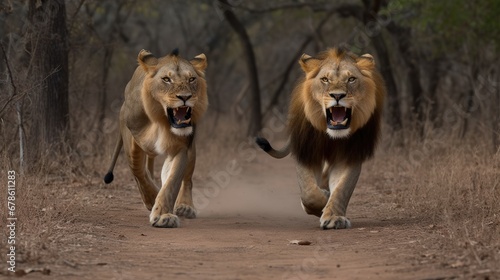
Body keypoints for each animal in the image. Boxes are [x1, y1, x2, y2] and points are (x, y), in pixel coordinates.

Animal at [104, 48, 208, 228]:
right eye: (166, 79)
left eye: (191, 79)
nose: (185, 97)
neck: (161, 120)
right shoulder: (132, 139)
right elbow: (139, 172)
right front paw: (152, 199)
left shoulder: (181, 147)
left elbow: (172, 182)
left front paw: (163, 215)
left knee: (187, 180)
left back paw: (185, 206)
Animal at [256, 47, 384, 229]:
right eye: (325, 79)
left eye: (351, 79)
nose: (337, 96)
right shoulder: (306, 152)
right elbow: (309, 193)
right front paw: (322, 201)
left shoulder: (349, 155)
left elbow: (342, 189)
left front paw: (334, 217)